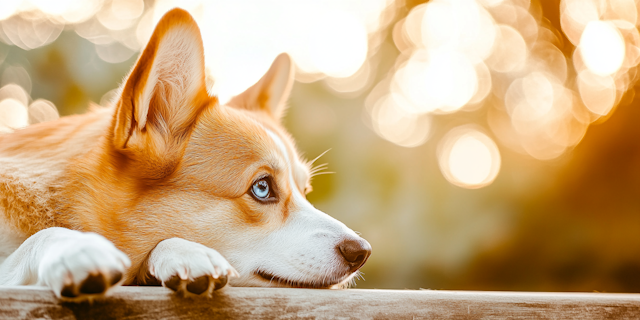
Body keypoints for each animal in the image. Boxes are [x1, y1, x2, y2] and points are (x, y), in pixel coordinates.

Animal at [0, 8, 370, 298]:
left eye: (304, 190)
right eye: (262, 188)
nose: (362, 252)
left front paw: (182, 252)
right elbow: (39, 240)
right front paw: (79, 247)